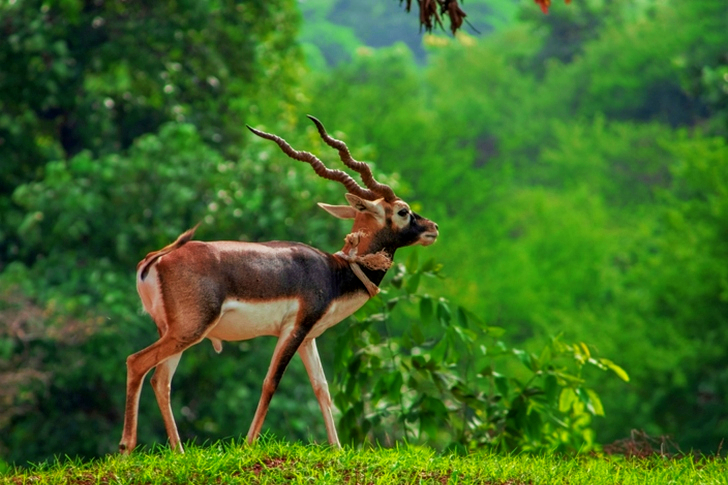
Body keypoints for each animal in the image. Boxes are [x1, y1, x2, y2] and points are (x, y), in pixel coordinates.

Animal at [118, 116, 439, 454]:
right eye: (403, 211)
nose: (433, 228)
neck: (335, 271)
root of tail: (156, 260)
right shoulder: (293, 329)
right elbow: (270, 382)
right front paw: (248, 445)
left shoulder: (309, 337)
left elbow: (322, 388)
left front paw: (337, 450)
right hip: (190, 329)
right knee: (136, 363)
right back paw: (126, 449)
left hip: (175, 332)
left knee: (160, 380)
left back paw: (179, 453)